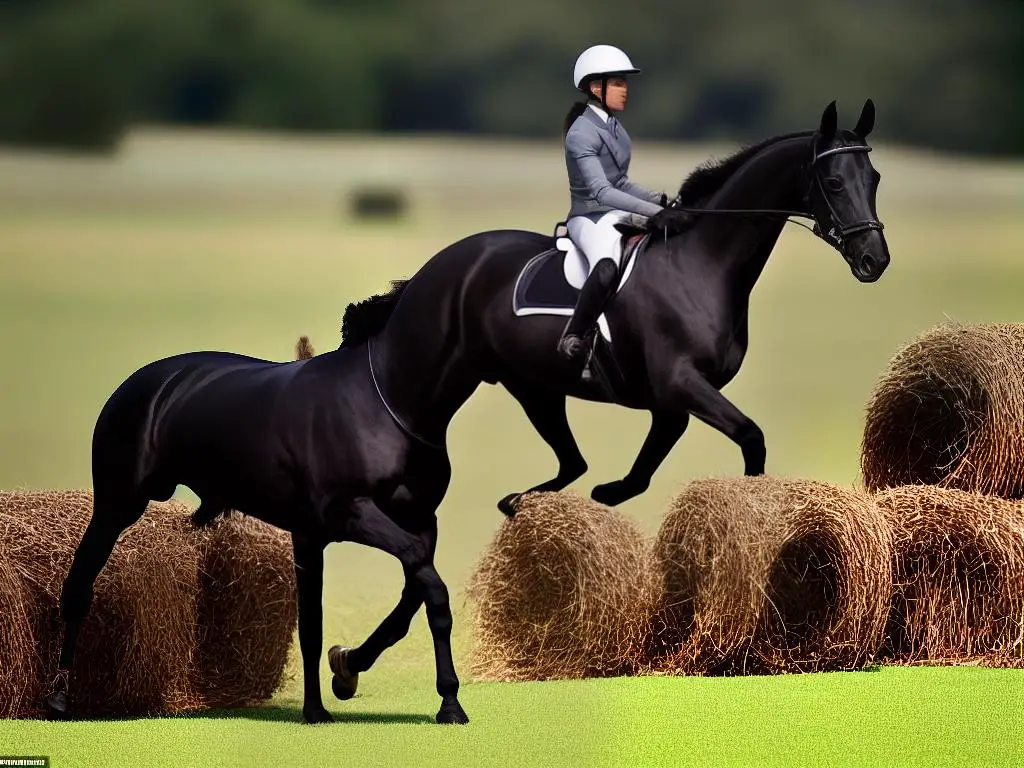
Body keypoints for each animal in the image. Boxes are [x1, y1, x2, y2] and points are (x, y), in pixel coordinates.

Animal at [44, 100, 884, 729]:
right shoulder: (679, 384)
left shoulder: (668, 398)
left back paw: (526, 502)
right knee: (82, 579)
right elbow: (746, 437)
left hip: (528, 388)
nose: (874, 260)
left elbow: (655, 460)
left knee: (568, 463)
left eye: (872, 174)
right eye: (832, 178)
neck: (698, 263)